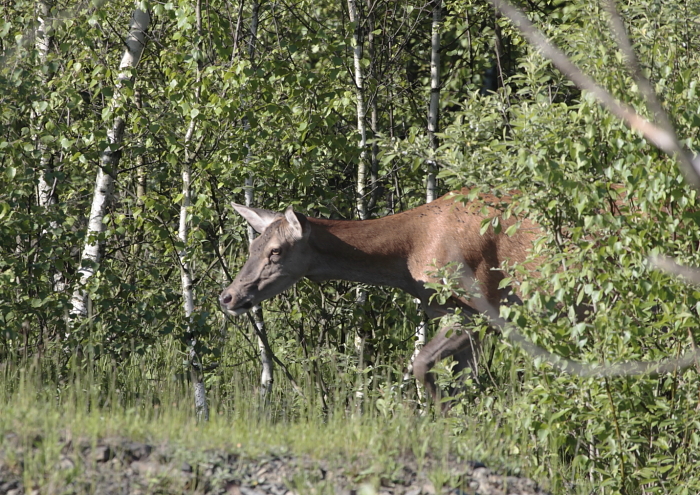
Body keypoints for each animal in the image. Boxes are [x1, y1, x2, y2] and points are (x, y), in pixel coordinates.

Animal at [219, 188, 540, 404]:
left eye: (276, 250)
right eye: (252, 246)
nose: (228, 297)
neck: (410, 256)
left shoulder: (481, 310)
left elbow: (423, 364)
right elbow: (463, 385)